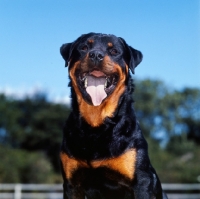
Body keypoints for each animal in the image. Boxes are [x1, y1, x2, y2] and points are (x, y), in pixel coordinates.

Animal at [59, 33, 167, 199]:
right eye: (84, 47)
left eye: (114, 51)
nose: (96, 55)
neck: (96, 124)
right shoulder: (72, 184)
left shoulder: (142, 182)